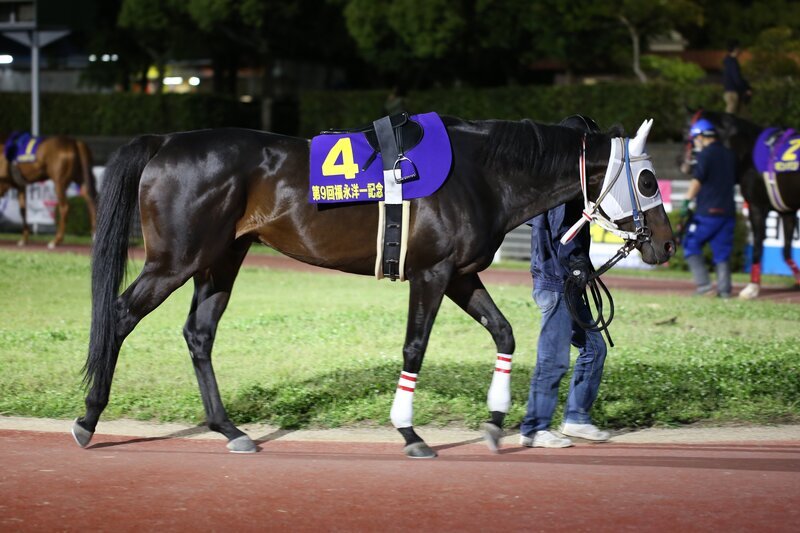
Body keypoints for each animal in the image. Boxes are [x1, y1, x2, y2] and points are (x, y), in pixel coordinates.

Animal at [70, 114, 674, 458]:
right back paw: (88, 417)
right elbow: (414, 347)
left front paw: (496, 421)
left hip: (222, 258)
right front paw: (409, 432)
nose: (667, 245)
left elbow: (504, 333)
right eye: (648, 179)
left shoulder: (460, 274)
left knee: (199, 333)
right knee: (120, 315)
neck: (480, 172)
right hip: (176, 258)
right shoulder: (431, 273)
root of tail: (166, 140)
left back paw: (228, 428)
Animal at [682, 110, 800, 298]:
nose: (684, 166)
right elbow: (786, 250)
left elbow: (758, 244)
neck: (749, 151)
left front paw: (752, 287)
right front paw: (797, 280)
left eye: (685, 133)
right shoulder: (787, 211)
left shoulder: (756, 206)